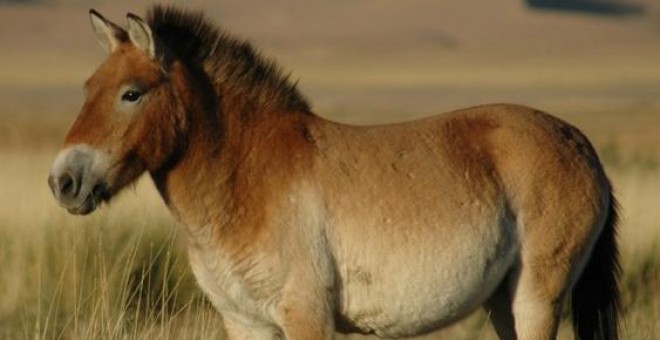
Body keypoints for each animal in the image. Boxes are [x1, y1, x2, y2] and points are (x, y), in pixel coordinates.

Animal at [49, 5, 620, 340]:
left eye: (131, 94)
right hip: (503, 301)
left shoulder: (306, 317)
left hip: (537, 299)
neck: (246, 178)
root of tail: (578, 142)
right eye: (87, 88)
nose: (63, 182)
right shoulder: (245, 322)